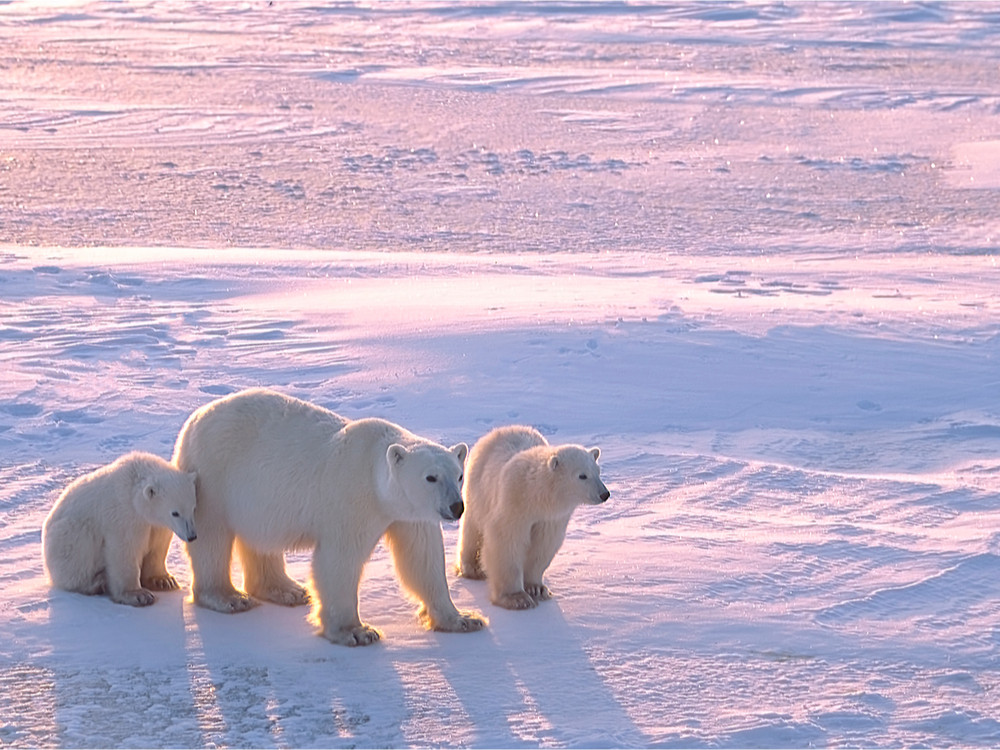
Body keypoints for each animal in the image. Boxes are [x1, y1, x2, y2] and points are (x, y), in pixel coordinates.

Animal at [43, 452, 197, 604]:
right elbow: (124, 549)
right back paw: (96, 583)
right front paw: (139, 595)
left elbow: (158, 546)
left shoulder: (156, 525)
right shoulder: (124, 515)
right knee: (78, 552)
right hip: (67, 535)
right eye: (175, 513)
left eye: (193, 508)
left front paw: (164, 581)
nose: (192, 536)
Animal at [174, 388, 486, 648]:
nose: (456, 507)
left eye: (459, 475)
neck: (374, 473)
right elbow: (339, 560)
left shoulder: (409, 514)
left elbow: (422, 559)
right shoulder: (352, 499)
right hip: (213, 476)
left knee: (261, 539)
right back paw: (228, 598)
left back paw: (287, 590)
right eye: (430, 477)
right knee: (212, 537)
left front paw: (464, 619)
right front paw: (356, 632)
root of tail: (194, 419)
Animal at [456, 428, 608, 612]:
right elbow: (506, 541)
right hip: (478, 486)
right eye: (582, 476)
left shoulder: (550, 518)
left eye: (598, 471)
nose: (604, 494)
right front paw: (517, 598)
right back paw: (471, 568)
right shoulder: (514, 504)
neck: (536, 495)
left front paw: (536, 589)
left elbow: (542, 545)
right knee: (472, 526)